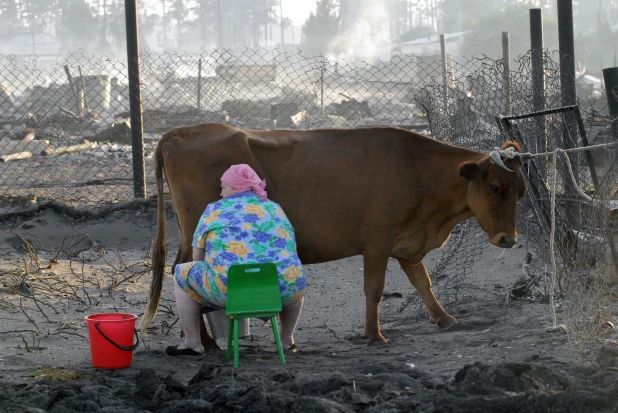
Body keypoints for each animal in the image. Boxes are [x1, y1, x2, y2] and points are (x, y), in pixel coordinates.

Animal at [140, 124, 524, 342]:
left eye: (519, 191)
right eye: (493, 187)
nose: (508, 239)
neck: (419, 171)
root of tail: (185, 130)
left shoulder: (407, 243)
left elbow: (423, 283)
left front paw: (445, 319)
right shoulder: (377, 239)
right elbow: (374, 289)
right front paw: (373, 335)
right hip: (195, 229)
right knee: (182, 271)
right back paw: (202, 341)